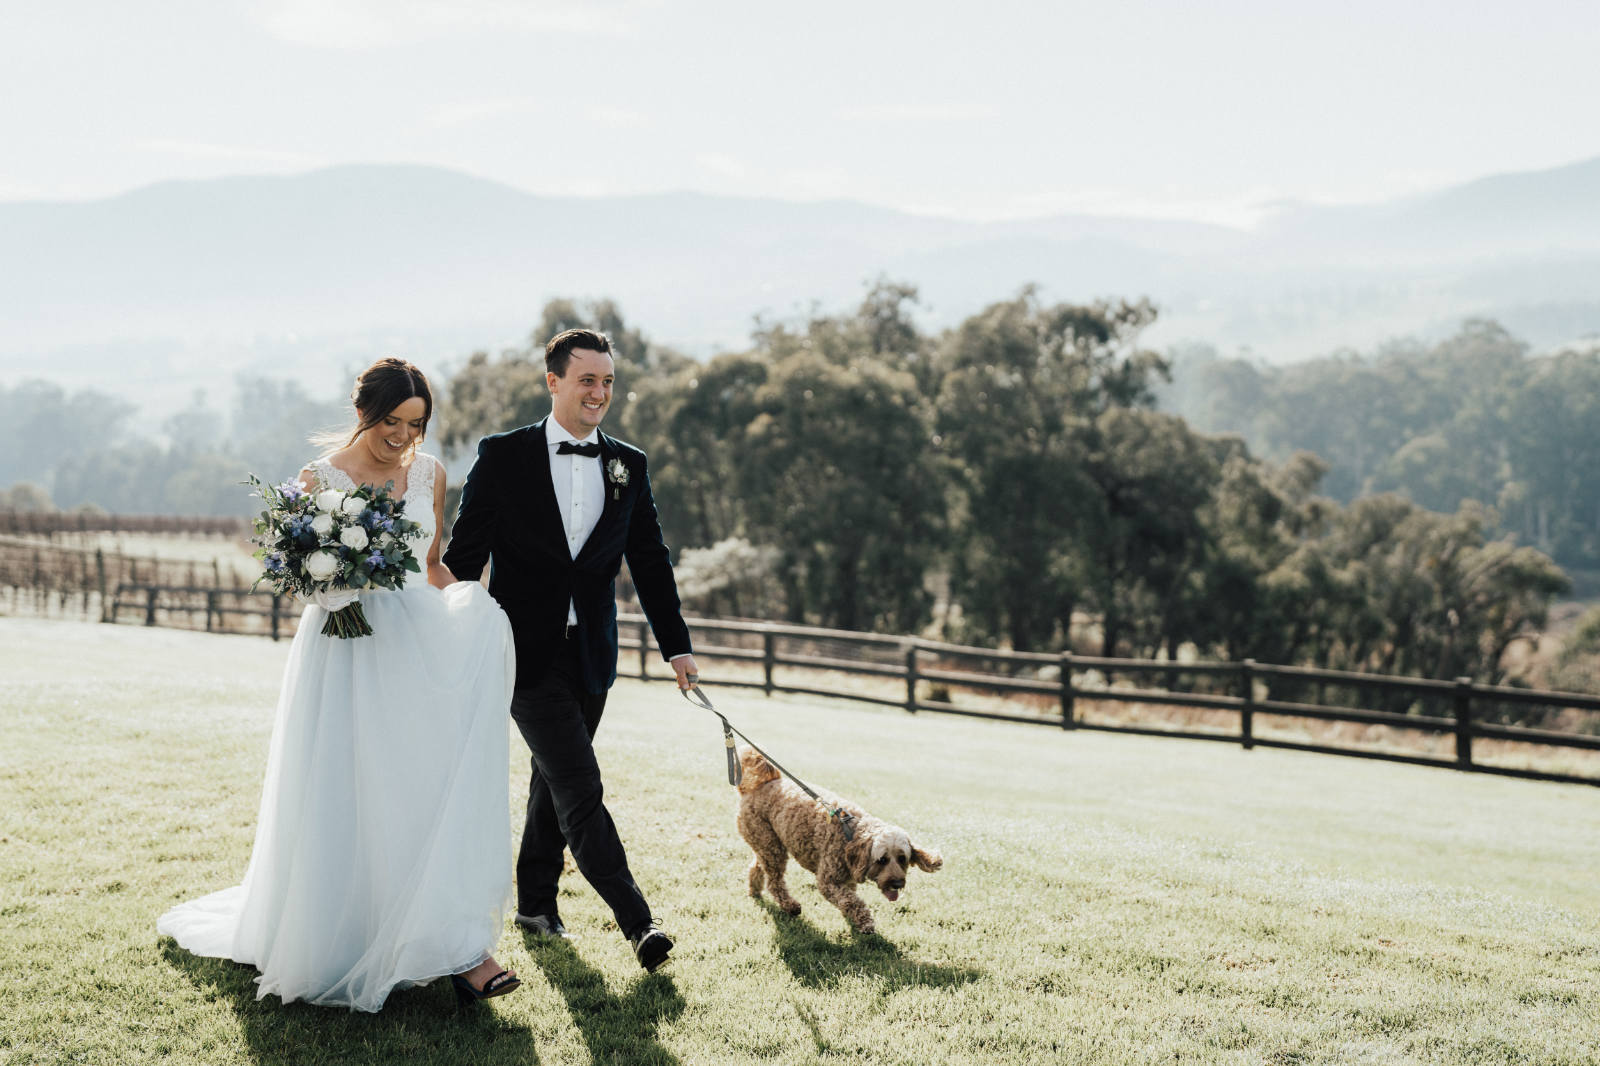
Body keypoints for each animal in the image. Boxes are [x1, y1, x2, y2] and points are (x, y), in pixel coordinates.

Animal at [736, 745, 934, 928]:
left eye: (902, 859)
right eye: (882, 860)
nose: (898, 884)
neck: (850, 833)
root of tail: (759, 786)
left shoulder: (848, 879)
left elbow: (849, 898)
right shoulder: (828, 881)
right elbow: (850, 901)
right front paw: (864, 922)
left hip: (767, 843)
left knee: (757, 867)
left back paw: (754, 890)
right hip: (771, 847)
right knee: (774, 882)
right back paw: (790, 906)